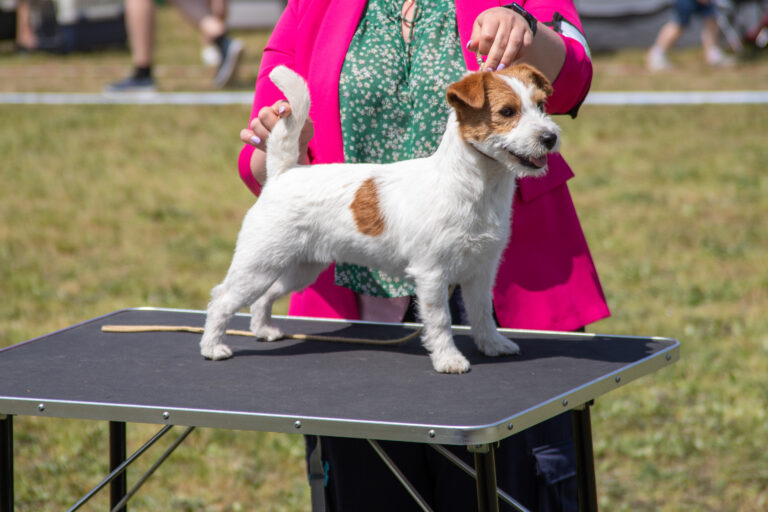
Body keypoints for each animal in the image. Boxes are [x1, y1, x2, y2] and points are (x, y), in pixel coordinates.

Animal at [201, 65, 560, 372]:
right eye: (507, 112)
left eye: (541, 105)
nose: (550, 137)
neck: (474, 186)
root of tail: (283, 173)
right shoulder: (432, 275)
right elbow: (440, 320)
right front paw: (448, 359)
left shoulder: (481, 271)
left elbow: (483, 313)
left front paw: (492, 345)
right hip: (259, 264)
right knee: (222, 298)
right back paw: (213, 347)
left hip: (298, 268)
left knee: (265, 295)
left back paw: (264, 330)